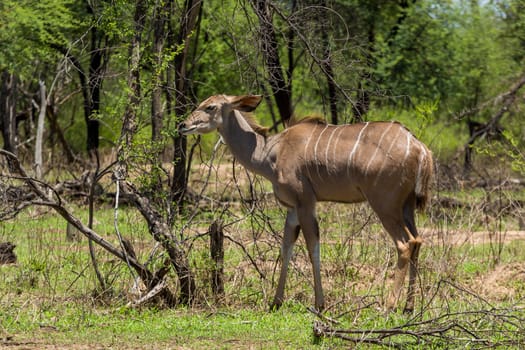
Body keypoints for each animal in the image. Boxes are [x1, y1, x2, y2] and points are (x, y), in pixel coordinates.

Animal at [178, 94, 432, 314]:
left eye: (210, 107)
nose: (182, 125)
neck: (270, 153)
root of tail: (420, 149)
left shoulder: (305, 202)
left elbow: (313, 248)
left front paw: (320, 304)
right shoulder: (293, 208)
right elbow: (286, 248)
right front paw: (276, 302)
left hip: (384, 204)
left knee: (405, 244)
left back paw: (388, 306)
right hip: (406, 206)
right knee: (417, 241)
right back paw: (409, 306)